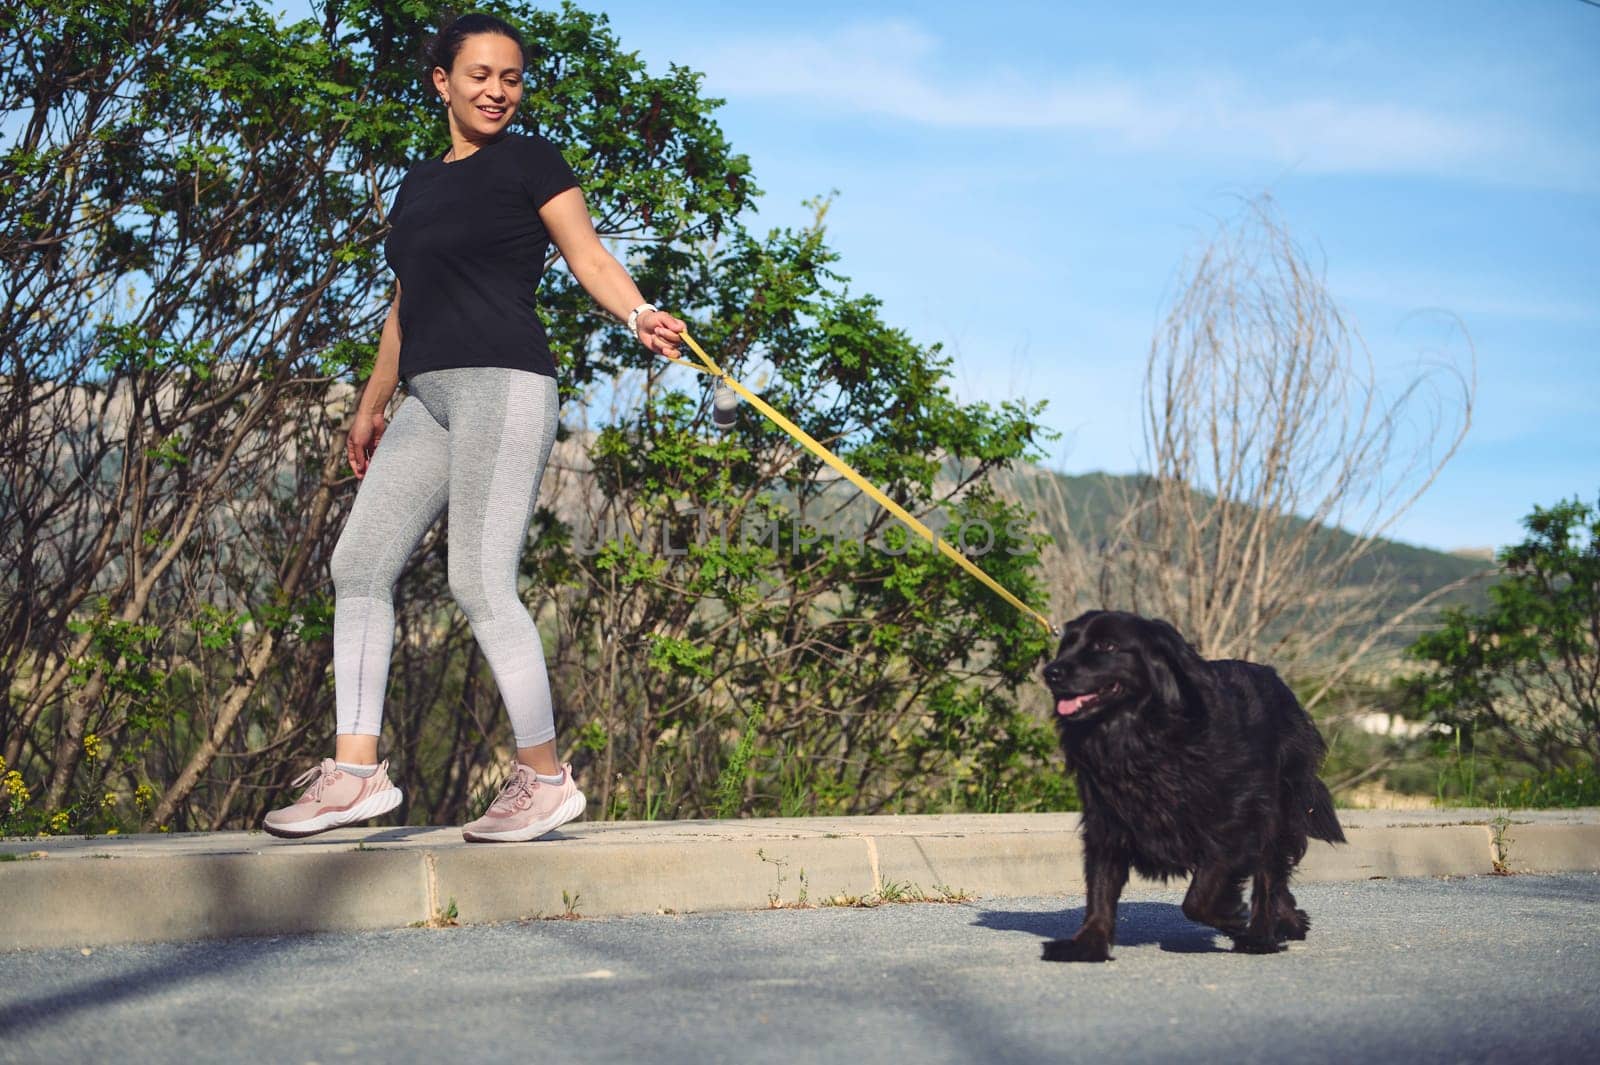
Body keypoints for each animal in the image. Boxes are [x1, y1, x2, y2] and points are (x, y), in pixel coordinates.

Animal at [1043, 610, 1344, 959]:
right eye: (1066, 644)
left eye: (1107, 646)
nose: (1051, 672)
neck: (1141, 735)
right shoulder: (1108, 819)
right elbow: (1100, 887)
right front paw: (1087, 943)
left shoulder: (1237, 817)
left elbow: (1198, 897)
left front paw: (1233, 918)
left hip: (1278, 807)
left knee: (1270, 873)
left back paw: (1259, 935)